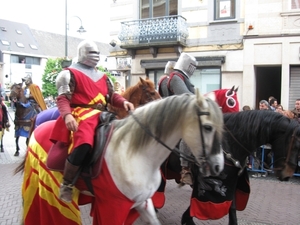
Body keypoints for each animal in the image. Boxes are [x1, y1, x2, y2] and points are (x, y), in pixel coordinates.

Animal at [155, 110, 300, 225]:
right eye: (294, 145)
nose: (287, 175)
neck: (228, 143)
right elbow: (192, 210)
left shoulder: (231, 184)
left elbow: (232, 210)